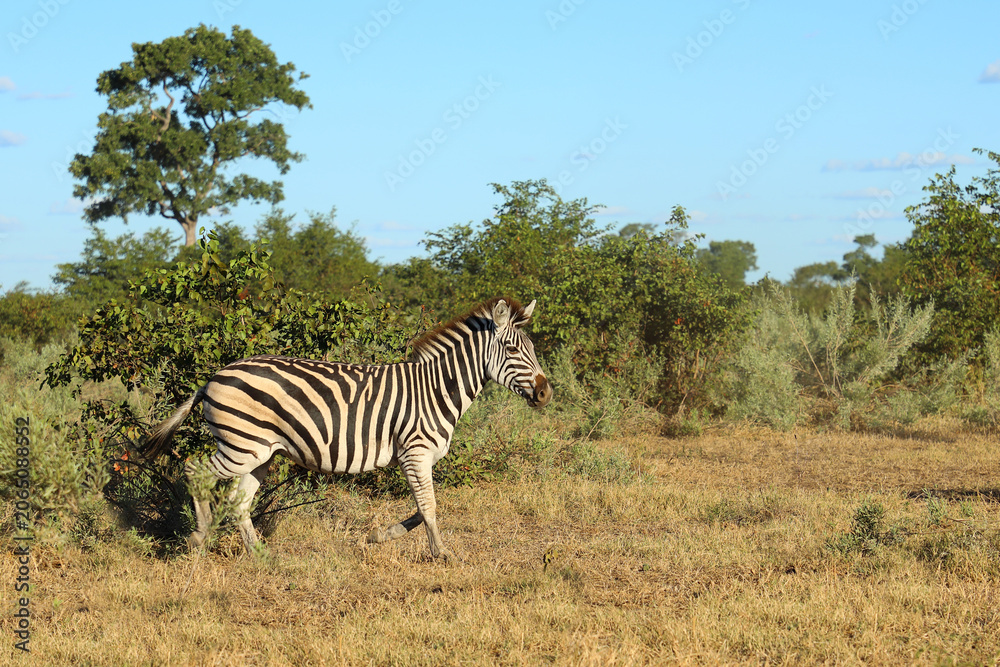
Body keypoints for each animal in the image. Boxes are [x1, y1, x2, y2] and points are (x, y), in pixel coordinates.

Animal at [140, 297, 552, 560]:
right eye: (513, 351)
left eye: (533, 349)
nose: (546, 392)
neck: (435, 388)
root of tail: (212, 377)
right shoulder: (415, 452)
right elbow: (429, 507)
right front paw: (443, 553)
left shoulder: (417, 458)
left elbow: (421, 509)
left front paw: (380, 535)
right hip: (241, 446)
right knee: (193, 470)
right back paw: (199, 536)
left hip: (260, 453)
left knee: (239, 501)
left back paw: (258, 554)